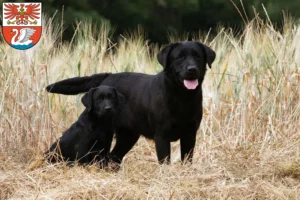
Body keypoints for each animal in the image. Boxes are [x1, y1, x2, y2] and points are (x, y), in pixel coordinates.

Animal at [46, 41, 216, 165]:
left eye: (198, 57)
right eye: (179, 57)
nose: (192, 69)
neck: (182, 97)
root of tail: (107, 76)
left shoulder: (190, 134)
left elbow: (187, 159)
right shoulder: (162, 136)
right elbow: (165, 162)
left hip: (128, 136)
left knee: (113, 157)